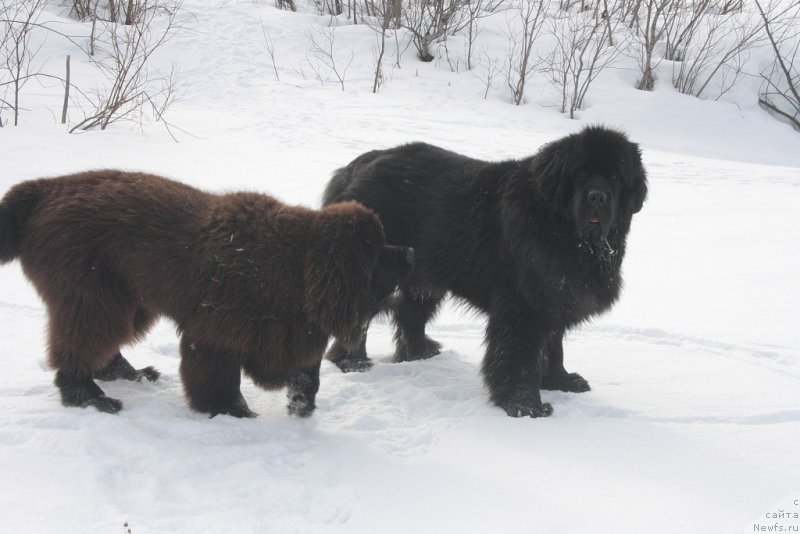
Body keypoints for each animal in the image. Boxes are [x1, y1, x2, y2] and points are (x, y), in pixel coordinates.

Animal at [0, 171, 412, 418]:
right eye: (376, 254)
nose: (409, 251)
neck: (292, 265)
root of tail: (43, 189)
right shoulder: (216, 334)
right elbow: (219, 381)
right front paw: (235, 413)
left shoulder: (291, 331)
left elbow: (306, 374)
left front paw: (301, 405)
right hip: (92, 296)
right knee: (78, 347)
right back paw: (90, 397)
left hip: (127, 299)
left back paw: (131, 375)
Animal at [322, 125, 648, 418]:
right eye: (580, 174)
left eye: (615, 178)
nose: (597, 197)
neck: (562, 231)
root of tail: (357, 165)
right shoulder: (523, 307)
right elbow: (518, 357)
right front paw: (525, 405)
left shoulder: (555, 298)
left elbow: (554, 348)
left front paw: (561, 381)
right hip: (378, 269)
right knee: (359, 315)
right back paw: (352, 362)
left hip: (426, 274)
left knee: (410, 313)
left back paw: (418, 353)